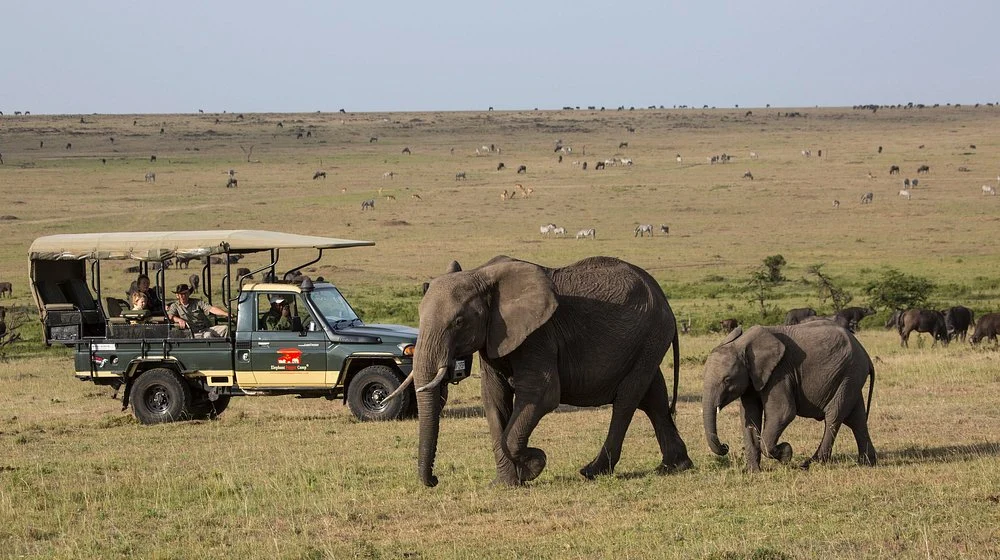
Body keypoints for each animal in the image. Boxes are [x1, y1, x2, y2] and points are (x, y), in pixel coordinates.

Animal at [393, 255, 692, 487]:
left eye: (458, 321)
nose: (434, 481)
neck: (482, 275)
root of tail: (663, 298)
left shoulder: (538, 335)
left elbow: (542, 394)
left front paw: (533, 464)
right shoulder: (493, 338)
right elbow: (494, 399)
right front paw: (505, 483)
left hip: (651, 334)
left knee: (627, 399)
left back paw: (592, 471)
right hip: (646, 342)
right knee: (653, 396)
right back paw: (674, 466)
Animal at [702, 323, 877, 472]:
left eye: (727, 380)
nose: (725, 446)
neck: (742, 344)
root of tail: (866, 355)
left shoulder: (780, 373)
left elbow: (783, 412)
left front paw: (786, 453)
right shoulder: (752, 380)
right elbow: (750, 417)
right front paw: (753, 472)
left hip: (849, 372)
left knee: (834, 416)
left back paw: (810, 464)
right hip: (850, 377)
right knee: (856, 418)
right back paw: (867, 463)